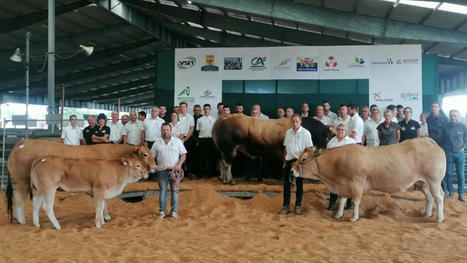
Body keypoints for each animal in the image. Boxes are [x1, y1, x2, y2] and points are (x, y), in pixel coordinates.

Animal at [6, 140, 157, 225]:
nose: (155, 167)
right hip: (23, 181)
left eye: (151, 152)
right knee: (18, 198)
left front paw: (103, 217)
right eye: (145, 155)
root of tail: (22, 143)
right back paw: (22, 220)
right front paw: (106, 217)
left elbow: (102, 203)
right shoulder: (100, 186)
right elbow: (103, 203)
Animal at [292, 139, 446, 224]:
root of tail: (427, 141)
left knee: (439, 197)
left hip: (434, 181)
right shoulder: (343, 186)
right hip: (423, 183)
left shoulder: (356, 184)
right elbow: (342, 201)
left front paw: (354, 218)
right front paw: (338, 215)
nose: (292, 170)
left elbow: (355, 201)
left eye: (303, 159)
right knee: (430, 198)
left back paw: (439, 218)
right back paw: (427, 214)